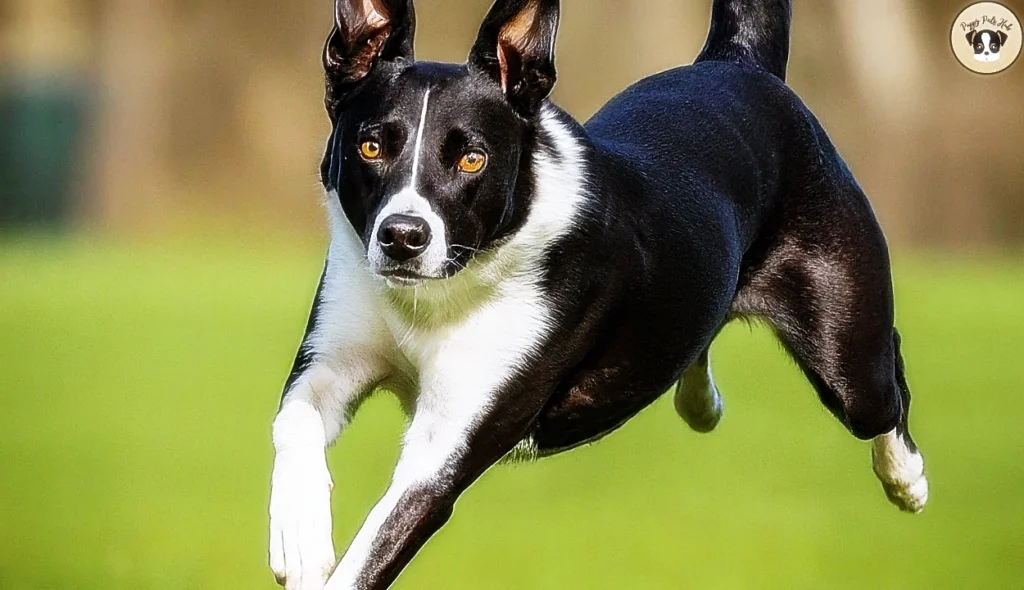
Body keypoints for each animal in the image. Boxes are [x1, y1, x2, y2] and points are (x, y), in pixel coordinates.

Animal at [268, 2, 933, 585]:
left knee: (885, 389)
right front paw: (299, 538)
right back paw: (701, 399)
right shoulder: (331, 359)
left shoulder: (443, 453)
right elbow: (293, 418)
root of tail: (744, 64)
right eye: (371, 145)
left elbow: (373, 551)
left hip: (849, 355)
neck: (442, 293)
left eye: (473, 159)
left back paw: (907, 478)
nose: (403, 237)